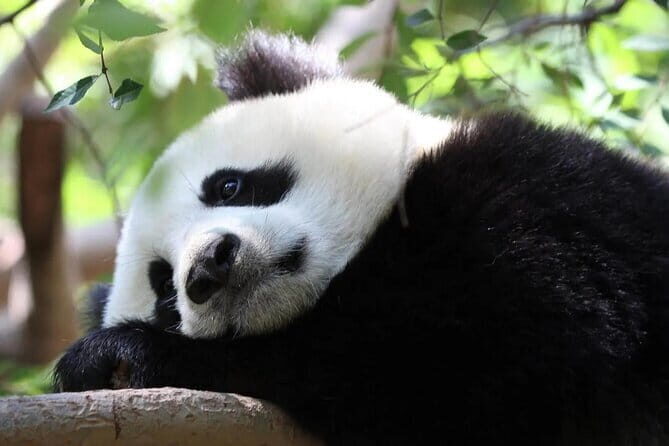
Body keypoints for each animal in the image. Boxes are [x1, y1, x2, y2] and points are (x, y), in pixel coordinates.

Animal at [54, 31, 669, 445]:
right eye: (164, 288)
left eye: (229, 184)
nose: (209, 265)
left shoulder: (540, 203)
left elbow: (453, 357)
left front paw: (125, 356)